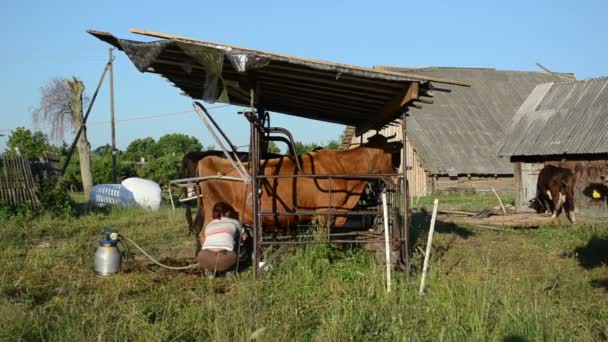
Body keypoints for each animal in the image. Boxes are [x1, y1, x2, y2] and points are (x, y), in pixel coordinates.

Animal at [195, 135, 404, 250]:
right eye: (394, 155)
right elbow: (324, 239)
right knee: (203, 235)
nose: (398, 177)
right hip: (214, 212)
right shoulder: (324, 213)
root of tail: (207, 159)